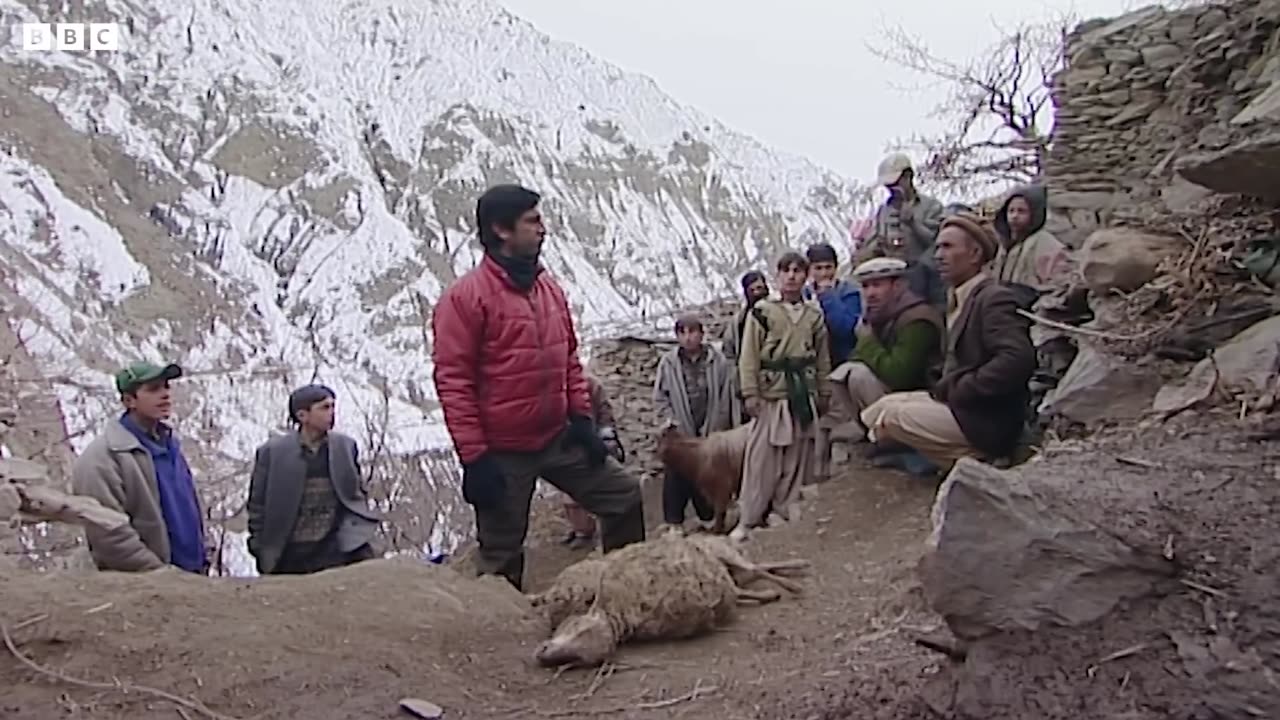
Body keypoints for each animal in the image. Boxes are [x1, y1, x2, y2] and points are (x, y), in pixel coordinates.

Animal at [529, 530, 808, 666]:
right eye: (578, 659)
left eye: (579, 629)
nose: (542, 655)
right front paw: (768, 594)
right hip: (729, 571)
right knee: (756, 570)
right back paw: (781, 582)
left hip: (724, 555)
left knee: (756, 568)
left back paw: (794, 577)